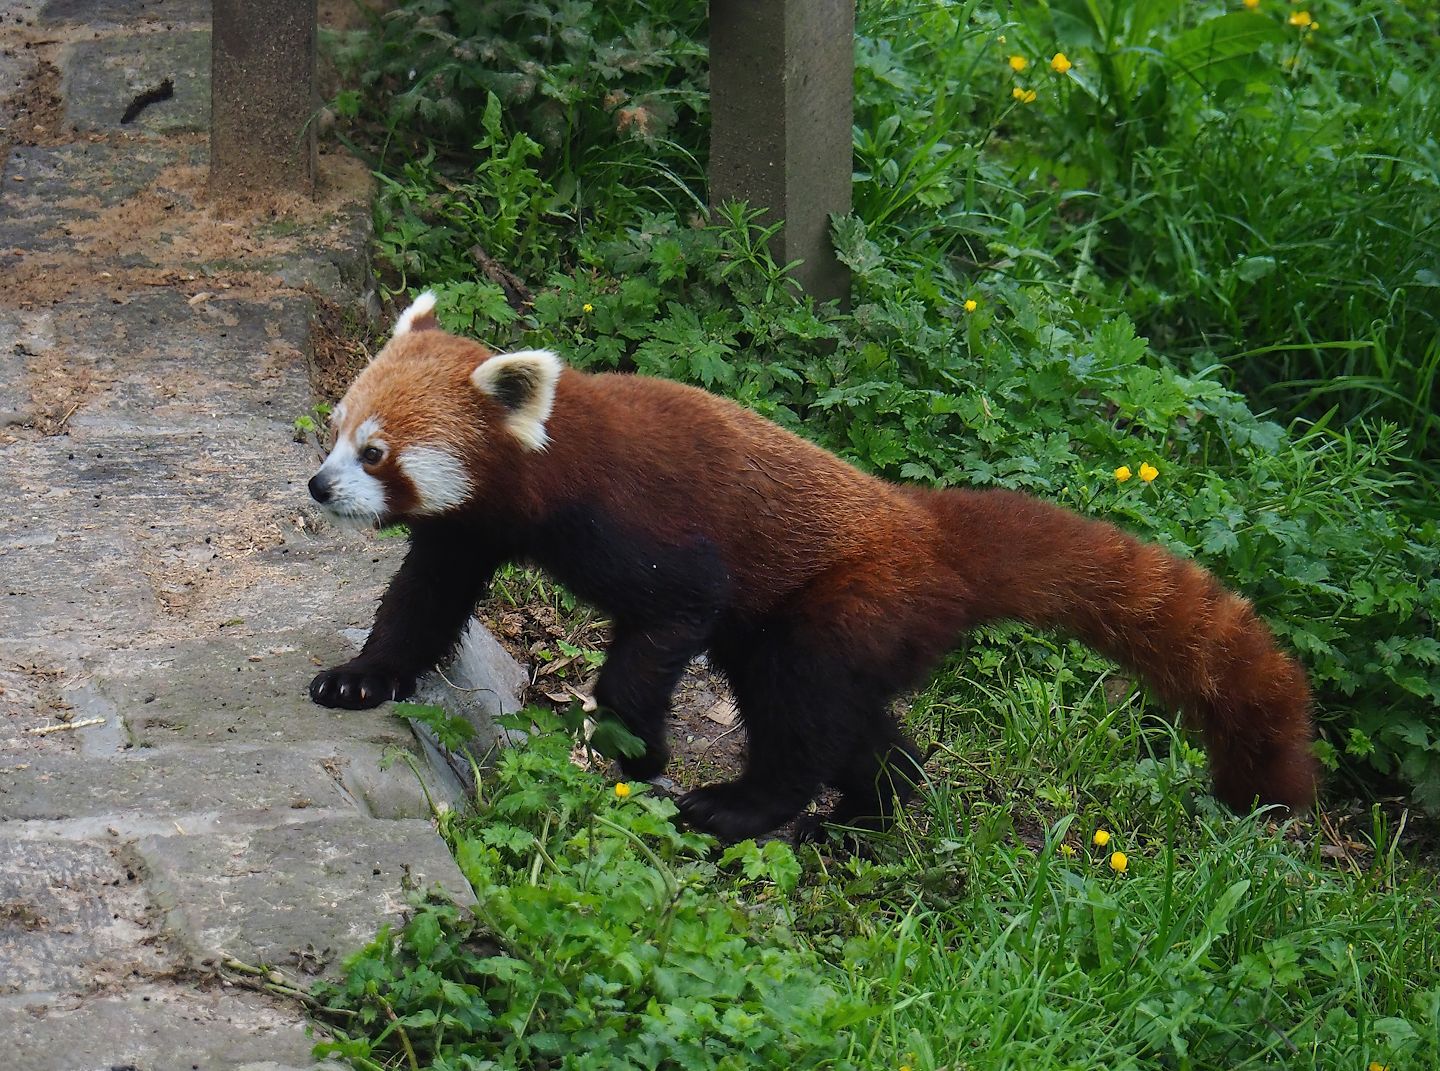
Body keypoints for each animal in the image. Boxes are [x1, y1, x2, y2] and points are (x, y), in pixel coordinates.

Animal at [305, 292, 1316, 841]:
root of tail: (923, 523)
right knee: (851, 719)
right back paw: (876, 805)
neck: (547, 470)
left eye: (377, 454)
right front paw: (361, 676)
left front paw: (634, 749)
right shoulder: (473, 529)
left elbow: (668, 620)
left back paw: (745, 808)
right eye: (337, 431)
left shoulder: (641, 528)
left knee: (799, 706)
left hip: (847, 598)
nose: (317, 486)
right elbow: (422, 602)